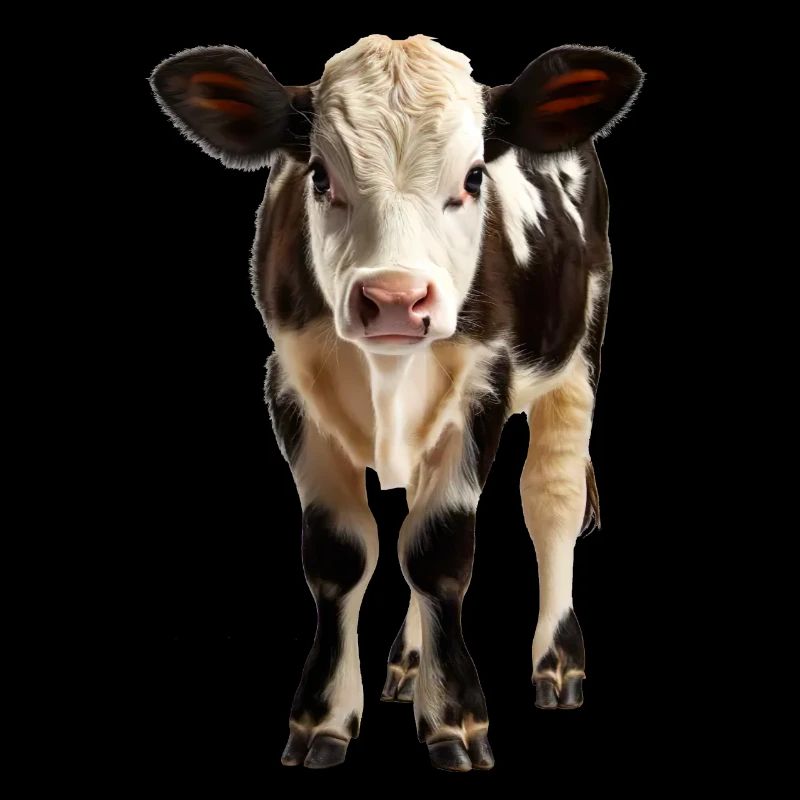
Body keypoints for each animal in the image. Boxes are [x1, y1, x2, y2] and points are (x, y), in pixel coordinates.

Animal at [150, 34, 642, 772]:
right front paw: (323, 719)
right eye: (320, 176)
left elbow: (438, 551)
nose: (394, 300)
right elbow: (343, 555)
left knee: (550, 502)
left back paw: (557, 663)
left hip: (579, 358)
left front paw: (456, 720)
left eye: (474, 178)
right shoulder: (288, 388)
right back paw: (410, 662)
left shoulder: (483, 387)